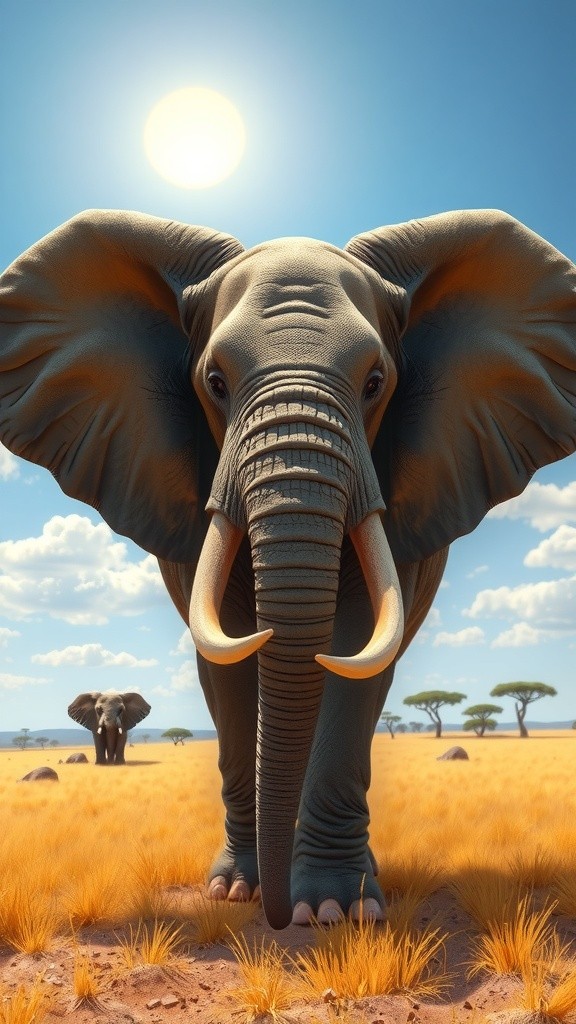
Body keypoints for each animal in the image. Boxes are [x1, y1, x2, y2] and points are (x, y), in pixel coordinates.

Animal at [0, 208, 575, 929]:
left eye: (376, 382)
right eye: (215, 382)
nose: (275, 919)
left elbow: (353, 650)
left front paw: (332, 910)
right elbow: (228, 659)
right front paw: (235, 892)